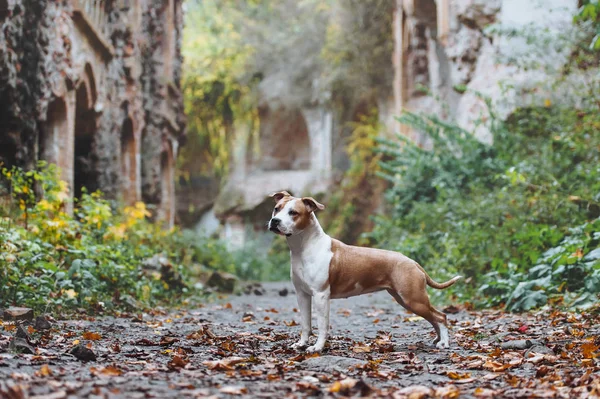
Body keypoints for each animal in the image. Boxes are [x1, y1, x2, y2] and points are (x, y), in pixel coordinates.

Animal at [270, 191, 462, 354]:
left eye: (293, 213)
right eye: (277, 208)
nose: (275, 221)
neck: (304, 246)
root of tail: (414, 263)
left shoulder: (320, 295)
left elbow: (322, 325)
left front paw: (317, 347)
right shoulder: (302, 294)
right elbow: (305, 324)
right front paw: (301, 344)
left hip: (413, 299)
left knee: (441, 316)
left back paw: (444, 343)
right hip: (406, 299)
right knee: (434, 317)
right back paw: (438, 340)